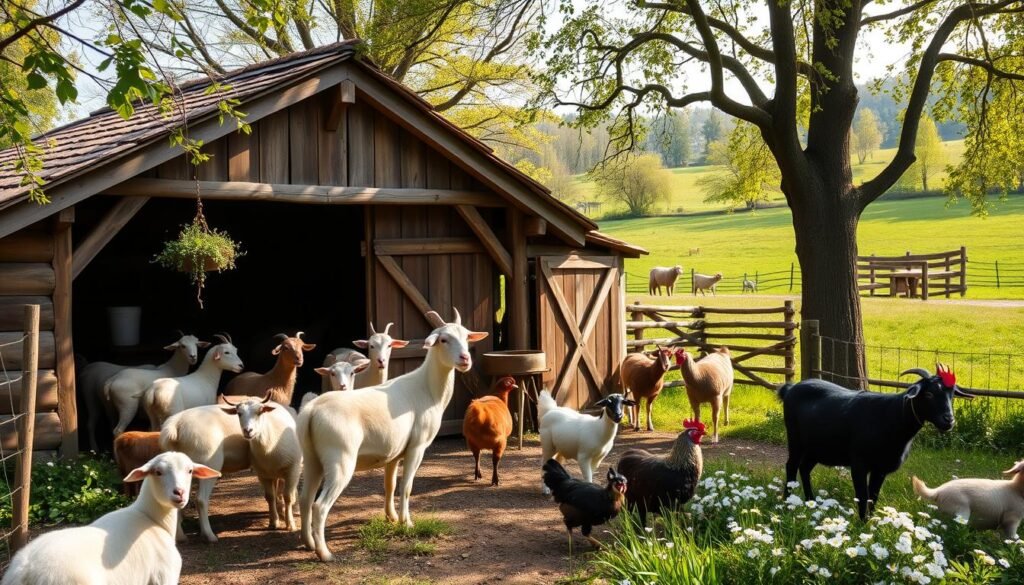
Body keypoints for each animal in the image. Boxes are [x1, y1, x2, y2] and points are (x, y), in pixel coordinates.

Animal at [1, 450, 218, 585]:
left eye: (190, 471)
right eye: (158, 472)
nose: (179, 493)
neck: (151, 518)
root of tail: (25, 571)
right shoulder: (165, 574)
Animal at [219, 395, 301, 532]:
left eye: (260, 411)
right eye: (239, 413)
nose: (248, 431)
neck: (269, 447)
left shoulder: (292, 469)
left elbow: (288, 497)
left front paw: (290, 524)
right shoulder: (263, 474)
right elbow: (269, 497)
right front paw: (273, 522)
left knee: (290, 492)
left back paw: (294, 509)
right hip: (273, 472)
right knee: (276, 491)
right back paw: (280, 510)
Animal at [299, 309, 487, 561]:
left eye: (466, 337)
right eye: (443, 340)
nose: (465, 359)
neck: (427, 388)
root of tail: (312, 411)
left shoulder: (394, 452)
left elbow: (390, 485)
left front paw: (392, 518)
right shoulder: (417, 446)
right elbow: (406, 487)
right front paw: (407, 523)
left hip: (312, 459)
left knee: (305, 499)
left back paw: (308, 543)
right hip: (340, 459)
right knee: (319, 506)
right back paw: (325, 553)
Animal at [778, 364, 970, 520]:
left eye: (952, 394)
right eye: (929, 393)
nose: (949, 420)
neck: (892, 417)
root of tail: (790, 388)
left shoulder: (881, 468)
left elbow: (873, 496)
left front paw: (870, 522)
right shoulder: (859, 463)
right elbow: (863, 496)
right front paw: (862, 524)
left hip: (816, 447)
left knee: (804, 468)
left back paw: (810, 501)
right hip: (795, 439)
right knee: (791, 466)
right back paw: (787, 502)